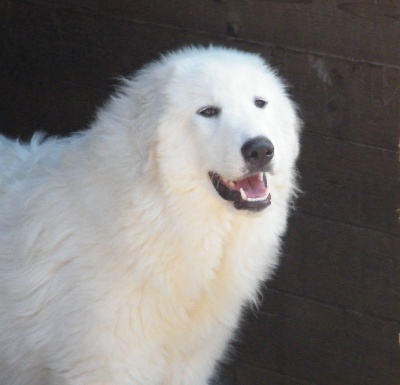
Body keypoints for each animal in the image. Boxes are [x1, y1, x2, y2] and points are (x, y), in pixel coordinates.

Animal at [0, 46, 300, 382]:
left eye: (260, 103)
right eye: (208, 111)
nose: (260, 150)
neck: (158, 212)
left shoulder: (188, 367)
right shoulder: (104, 367)